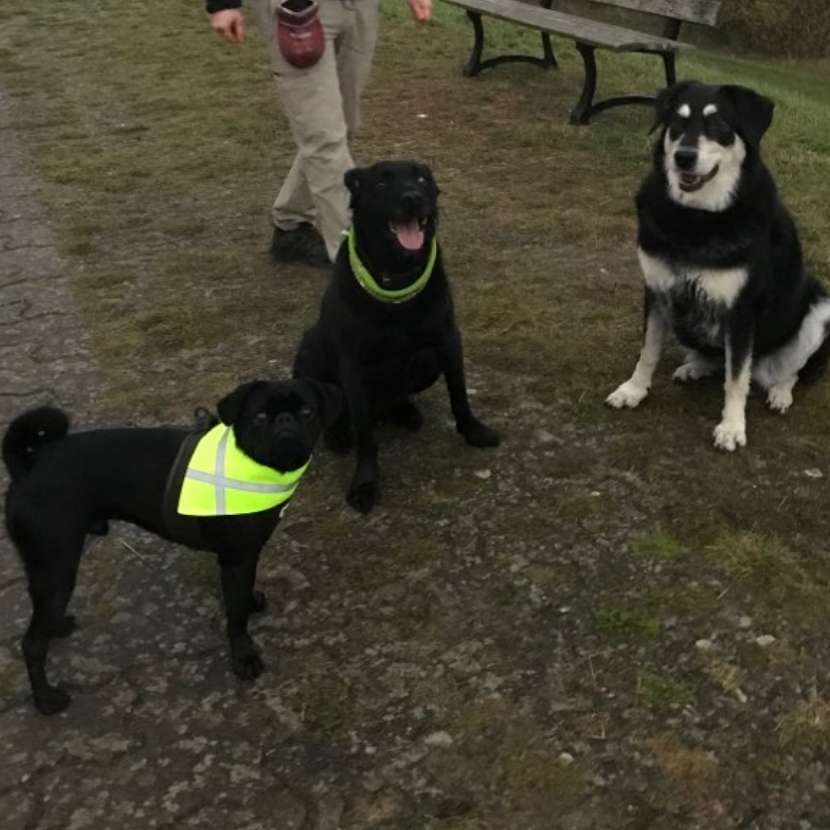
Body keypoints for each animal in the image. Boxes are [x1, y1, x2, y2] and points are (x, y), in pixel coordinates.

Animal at [2, 378, 342, 716]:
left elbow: (244, 593)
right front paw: (244, 656)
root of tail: (29, 467)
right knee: (31, 644)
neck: (250, 462)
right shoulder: (235, 560)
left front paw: (251, 602)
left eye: (308, 412)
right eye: (259, 417)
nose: (285, 420)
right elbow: (235, 617)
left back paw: (56, 626)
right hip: (57, 565)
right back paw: (45, 699)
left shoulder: (248, 554)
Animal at [292, 160, 500, 512]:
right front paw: (365, 484)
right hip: (308, 350)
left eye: (422, 179)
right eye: (380, 184)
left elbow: (459, 394)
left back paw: (404, 412)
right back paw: (338, 434)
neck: (396, 278)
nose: (412, 198)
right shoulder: (353, 366)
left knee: (397, 395)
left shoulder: (448, 341)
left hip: (426, 363)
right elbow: (365, 435)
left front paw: (473, 430)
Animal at [604, 81, 830, 452]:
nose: (683, 157)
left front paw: (732, 427)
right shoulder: (657, 291)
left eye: (720, 125)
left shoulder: (740, 311)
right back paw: (695, 367)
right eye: (677, 122)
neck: (697, 217)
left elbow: (736, 379)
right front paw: (633, 390)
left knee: (792, 371)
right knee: (714, 357)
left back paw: (780, 393)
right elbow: (648, 350)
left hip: (821, 308)